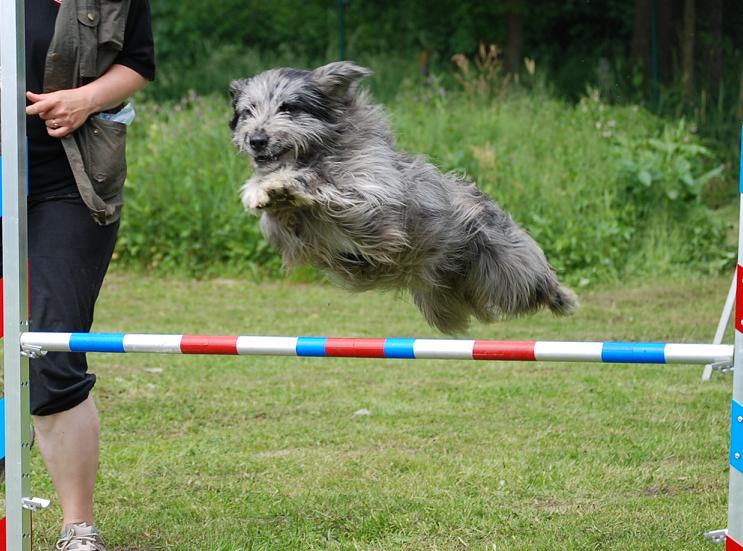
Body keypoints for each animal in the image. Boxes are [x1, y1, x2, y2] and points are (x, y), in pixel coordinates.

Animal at [230, 62, 580, 334]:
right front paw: (266, 190)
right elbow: (283, 220)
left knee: (533, 281)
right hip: (443, 299)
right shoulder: (297, 239)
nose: (256, 140)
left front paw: (281, 182)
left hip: (505, 268)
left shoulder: (373, 201)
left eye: (288, 107)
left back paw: (562, 297)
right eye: (248, 111)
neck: (317, 153)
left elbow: (326, 187)